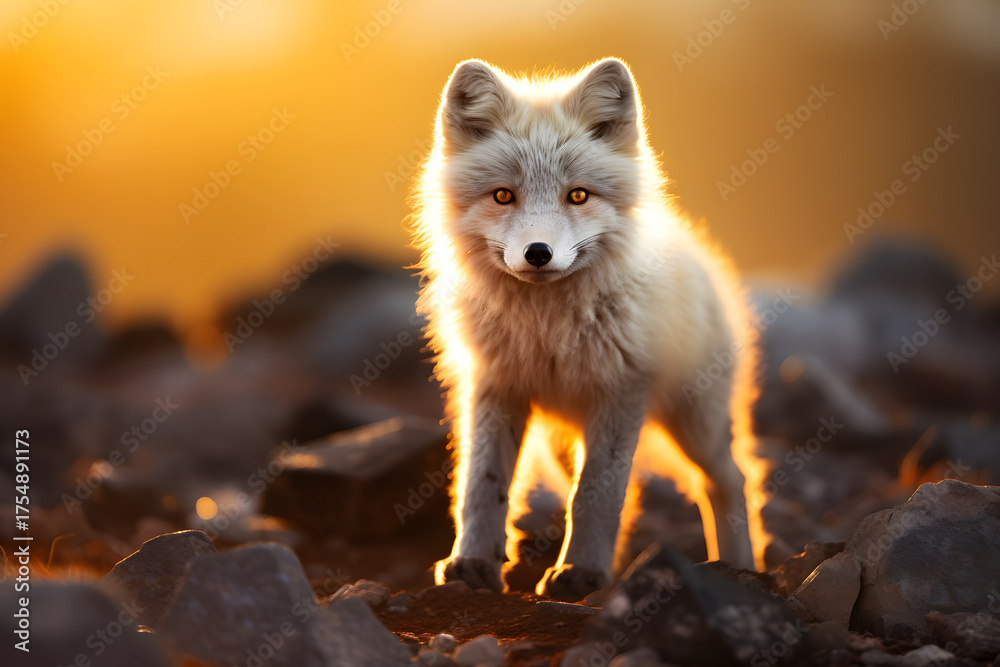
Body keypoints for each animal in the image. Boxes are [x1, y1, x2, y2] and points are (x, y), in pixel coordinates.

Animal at [410, 57, 759, 601]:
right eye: (503, 195)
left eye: (577, 195)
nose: (538, 253)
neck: (548, 330)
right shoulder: (495, 384)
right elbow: (482, 485)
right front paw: (472, 563)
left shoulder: (622, 389)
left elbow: (595, 494)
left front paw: (581, 573)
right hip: (564, 442)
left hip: (694, 423)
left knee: (729, 481)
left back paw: (739, 567)